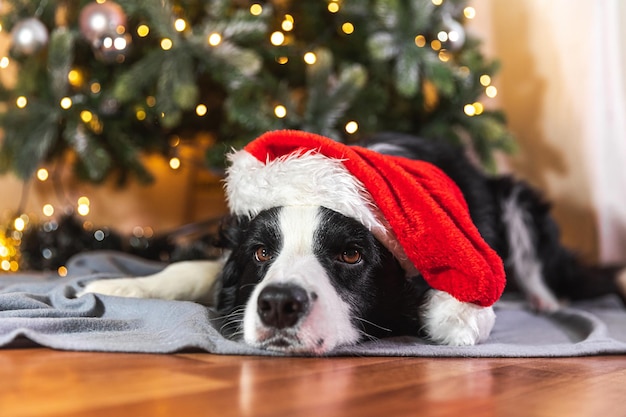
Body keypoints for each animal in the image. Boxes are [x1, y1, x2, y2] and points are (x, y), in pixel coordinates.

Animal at [81, 132, 624, 354]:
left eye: (350, 253)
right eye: (262, 252)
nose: (278, 305)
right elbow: (194, 269)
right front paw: (121, 284)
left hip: (518, 197)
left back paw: (545, 302)